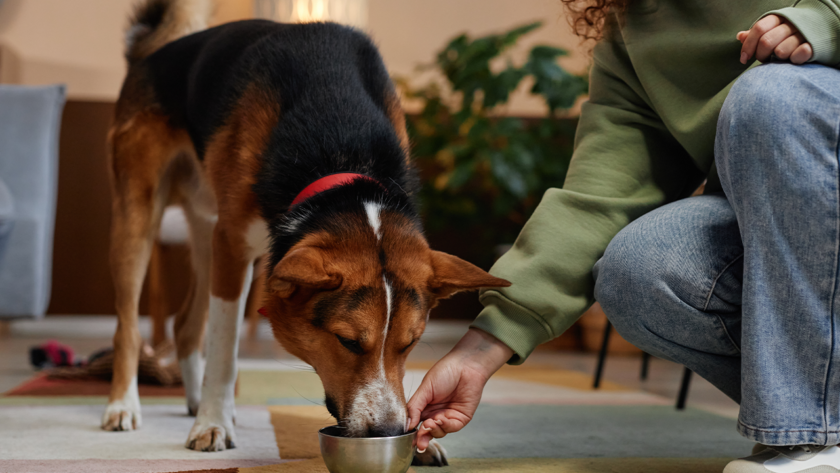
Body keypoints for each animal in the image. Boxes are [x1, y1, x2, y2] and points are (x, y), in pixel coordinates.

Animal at [105, 0, 512, 464]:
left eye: (410, 344)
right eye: (347, 341)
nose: (389, 431)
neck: (341, 151)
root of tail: (152, 51)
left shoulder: (226, 245)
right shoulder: (232, 247)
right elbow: (225, 352)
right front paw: (212, 424)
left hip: (205, 230)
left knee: (185, 325)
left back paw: (192, 399)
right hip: (140, 217)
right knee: (129, 327)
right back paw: (123, 406)